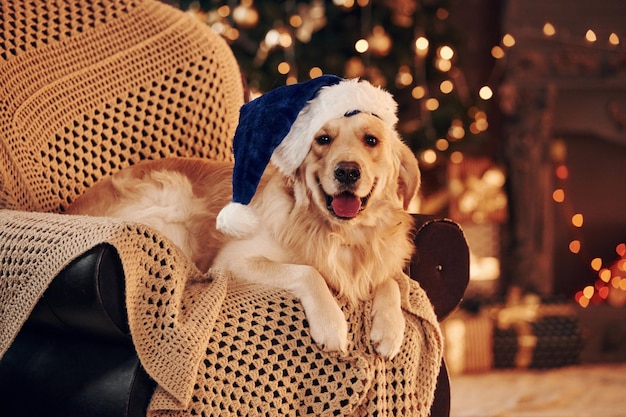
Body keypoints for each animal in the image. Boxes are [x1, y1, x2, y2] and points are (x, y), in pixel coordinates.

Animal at [68, 110, 420, 358]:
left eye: (371, 140)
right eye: (323, 139)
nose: (347, 171)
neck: (342, 234)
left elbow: (390, 280)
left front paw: (391, 329)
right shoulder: (233, 261)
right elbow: (308, 272)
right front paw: (332, 324)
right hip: (173, 199)